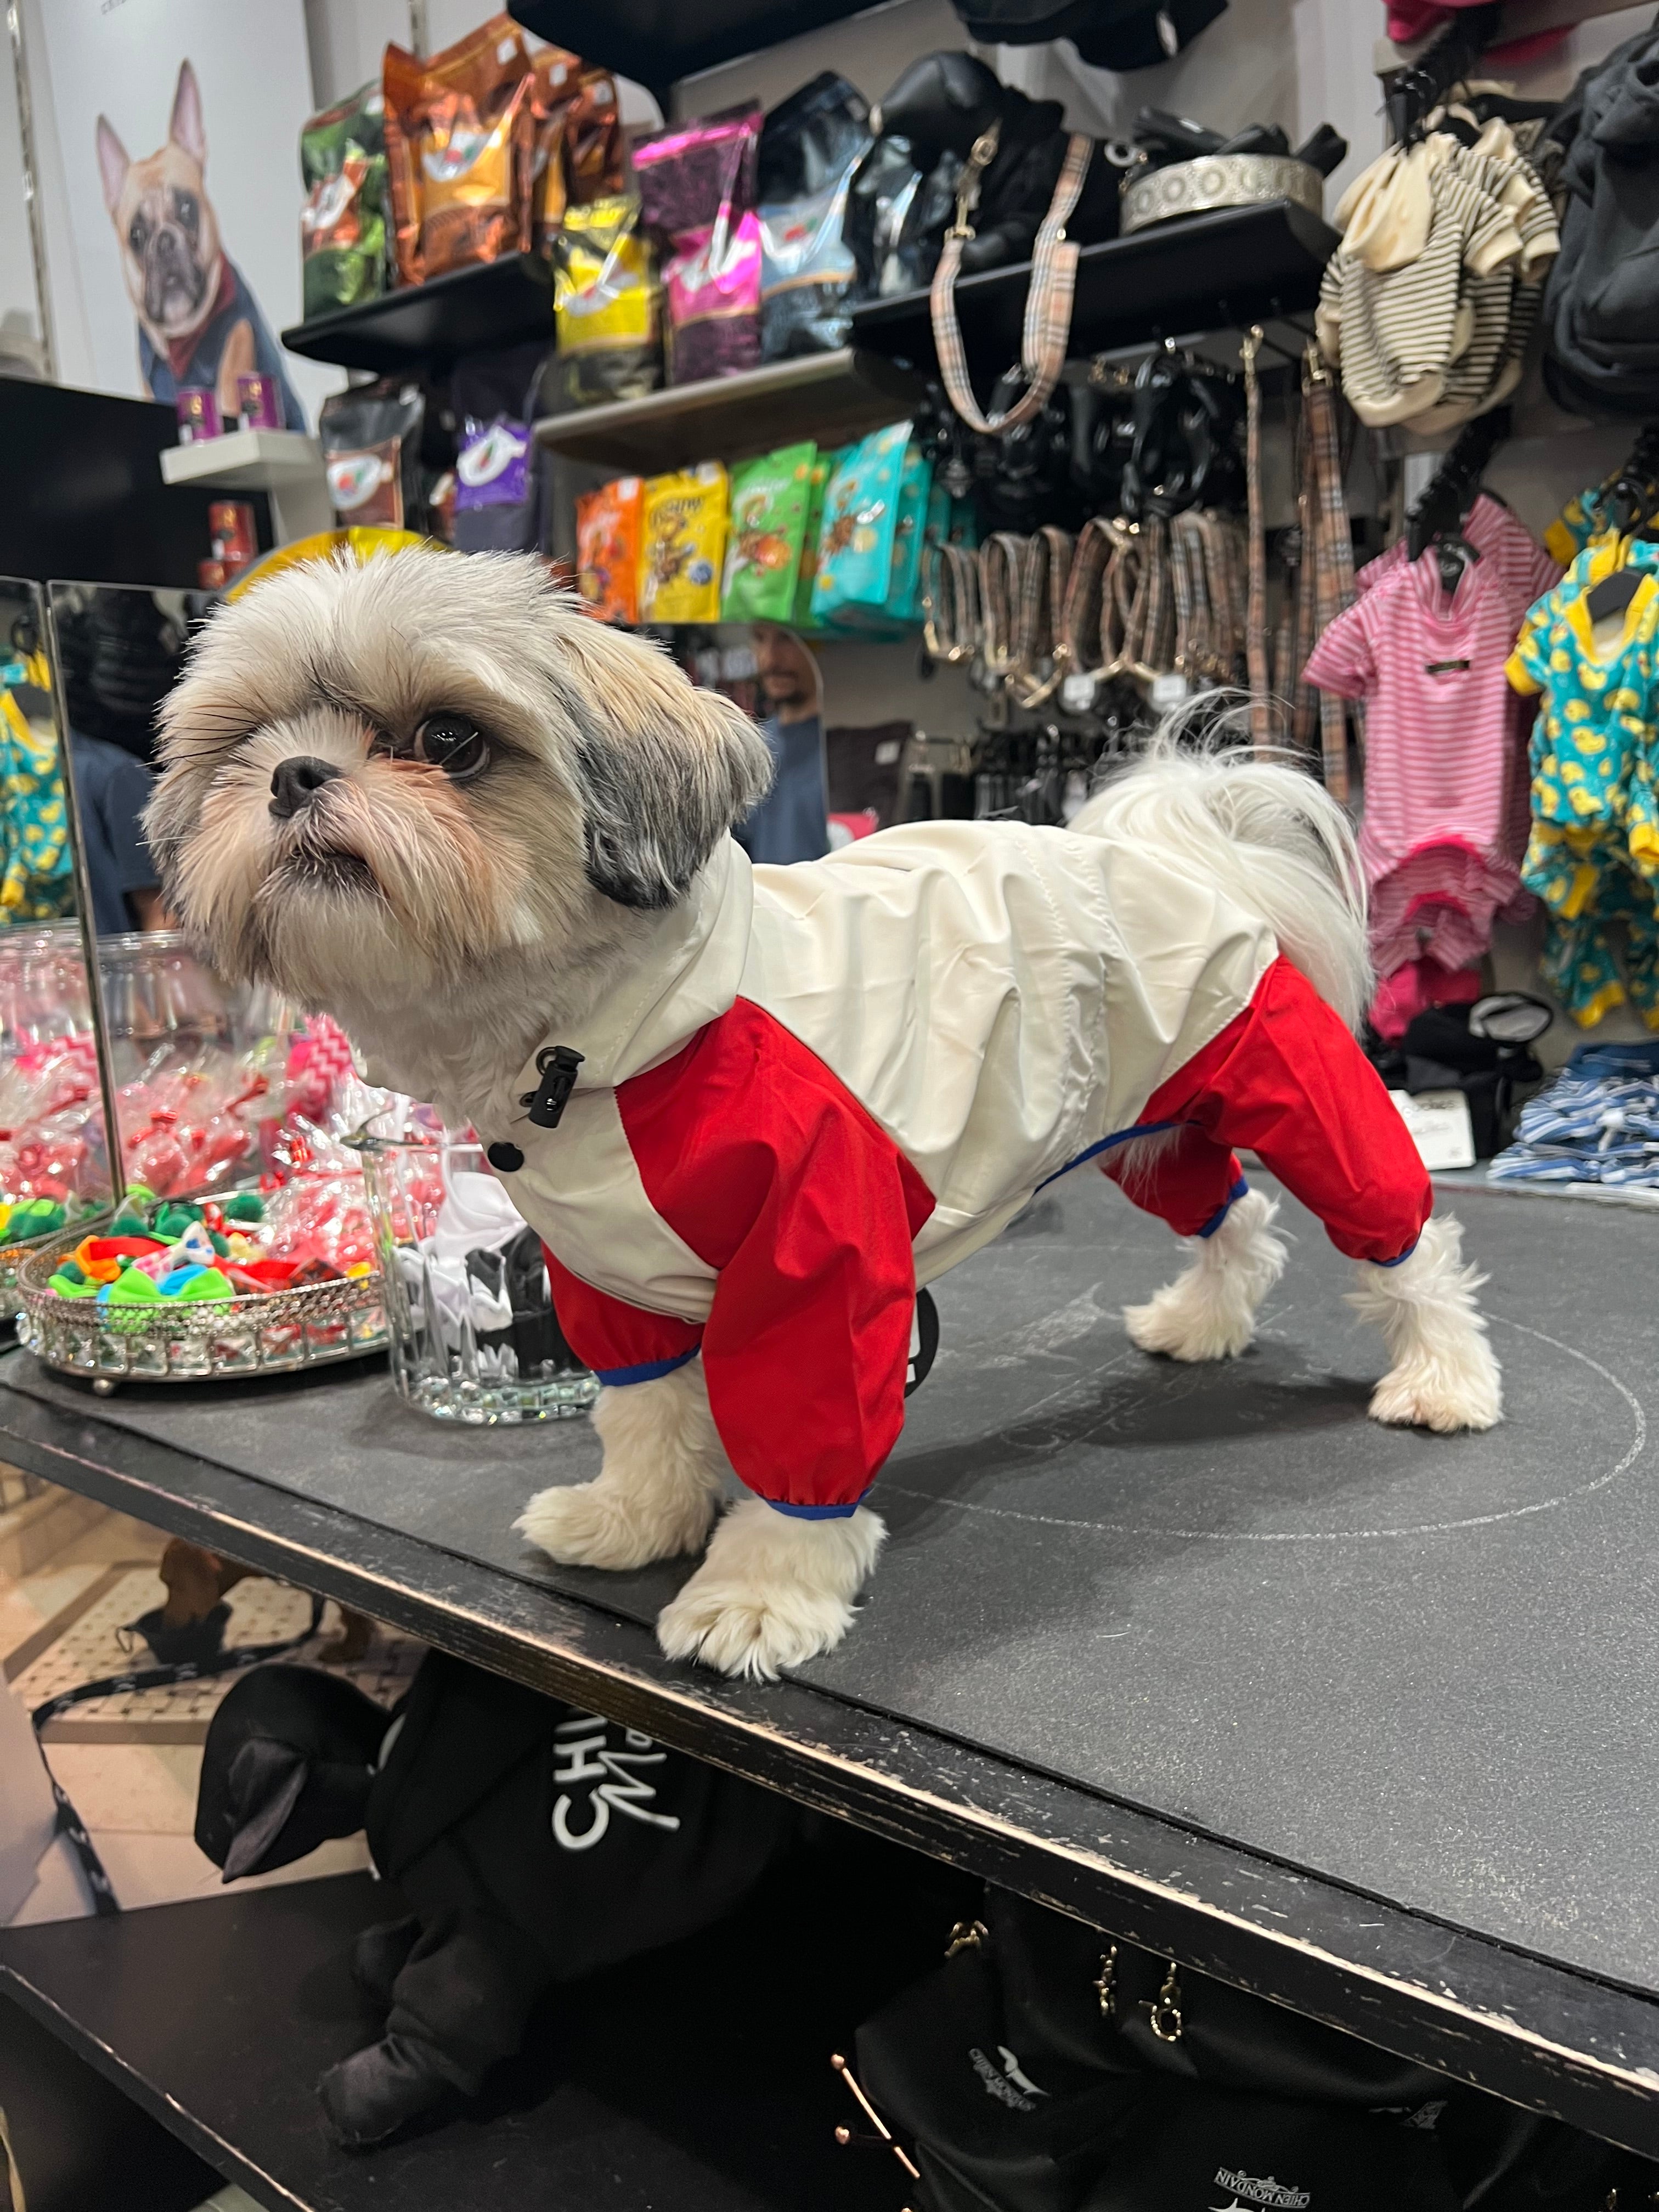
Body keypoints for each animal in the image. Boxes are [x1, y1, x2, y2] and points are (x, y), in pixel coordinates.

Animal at [153, 548, 1504, 1672]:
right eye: (248, 739)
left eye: (450, 737)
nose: (293, 775)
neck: (612, 1041)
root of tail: (1190, 851)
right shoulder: (611, 1277)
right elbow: (644, 1413)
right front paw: (637, 1518)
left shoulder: (821, 1262)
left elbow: (798, 1435)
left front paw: (761, 1592)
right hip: (1143, 1119)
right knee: (1235, 1221)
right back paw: (1202, 1321)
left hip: (1296, 1088)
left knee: (1405, 1239)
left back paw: (1441, 1376)